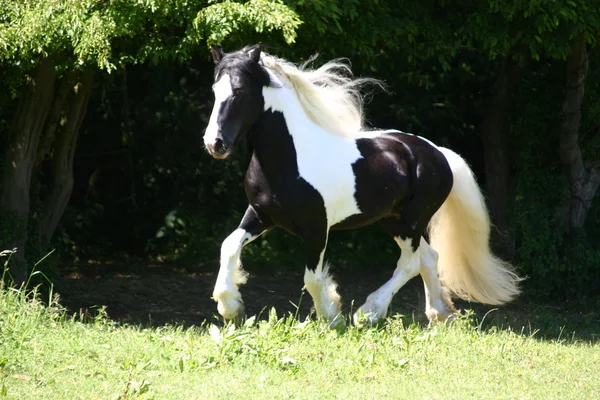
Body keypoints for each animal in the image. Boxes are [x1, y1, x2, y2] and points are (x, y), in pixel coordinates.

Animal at [203, 43, 520, 326]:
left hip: (413, 220)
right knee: (429, 258)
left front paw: (332, 316)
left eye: (239, 91)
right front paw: (231, 308)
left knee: (409, 263)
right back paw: (440, 314)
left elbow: (312, 277)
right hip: (392, 220)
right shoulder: (260, 215)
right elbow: (228, 246)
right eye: (215, 91)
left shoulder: (317, 227)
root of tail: (438, 153)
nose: (214, 143)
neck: (289, 161)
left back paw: (368, 313)